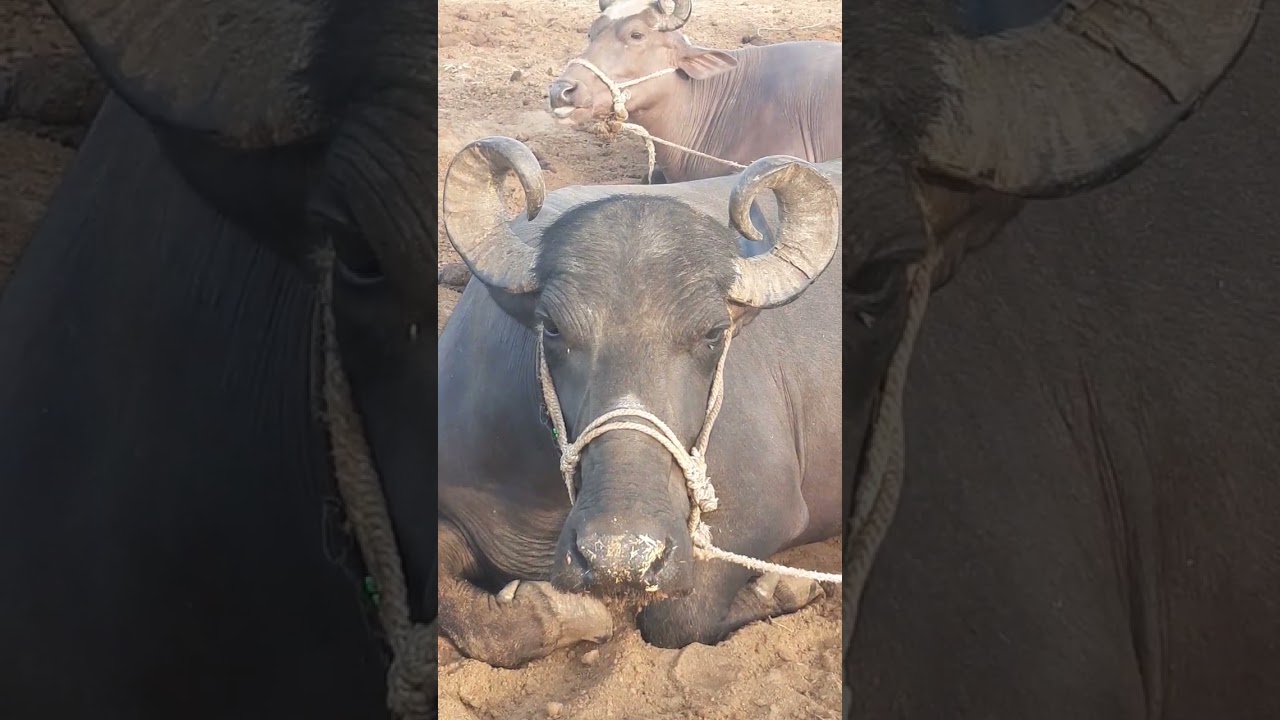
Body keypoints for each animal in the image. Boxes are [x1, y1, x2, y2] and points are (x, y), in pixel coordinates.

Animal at [437, 138, 843, 668]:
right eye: (552, 329)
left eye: (714, 334)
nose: (619, 557)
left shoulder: (762, 512)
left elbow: (677, 618)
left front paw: (784, 588)